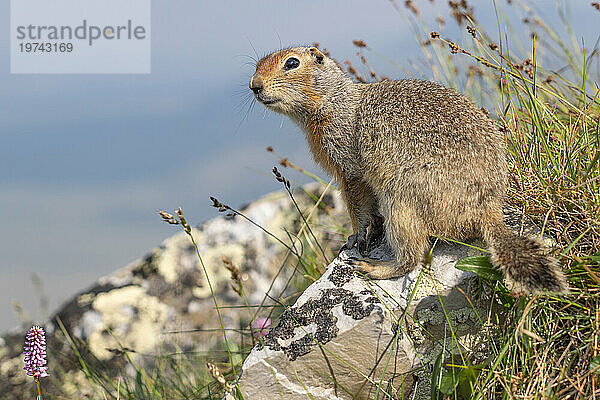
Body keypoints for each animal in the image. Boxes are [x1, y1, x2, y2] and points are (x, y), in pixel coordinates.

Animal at [248, 47, 568, 296]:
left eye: (291, 63)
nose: (254, 85)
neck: (336, 102)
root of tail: (488, 209)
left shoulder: (348, 165)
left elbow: (356, 205)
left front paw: (354, 239)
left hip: (401, 202)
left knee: (413, 256)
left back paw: (372, 267)